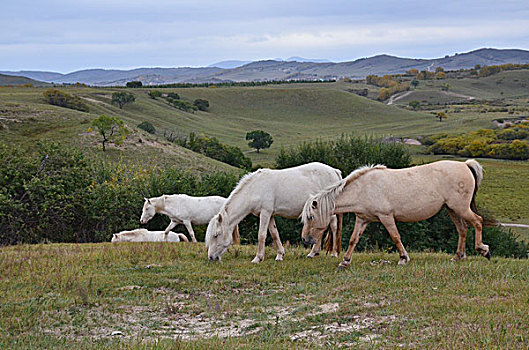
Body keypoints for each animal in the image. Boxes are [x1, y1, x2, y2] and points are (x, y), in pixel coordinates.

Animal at [300, 159, 488, 268]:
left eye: (310, 217)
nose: (305, 240)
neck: (363, 188)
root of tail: (465, 165)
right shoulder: (362, 219)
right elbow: (353, 240)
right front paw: (345, 261)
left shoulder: (386, 217)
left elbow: (395, 237)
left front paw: (403, 258)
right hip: (452, 209)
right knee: (462, 230)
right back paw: (458, 257)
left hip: (460, 208)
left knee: (478, 221)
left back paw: (483, 250)